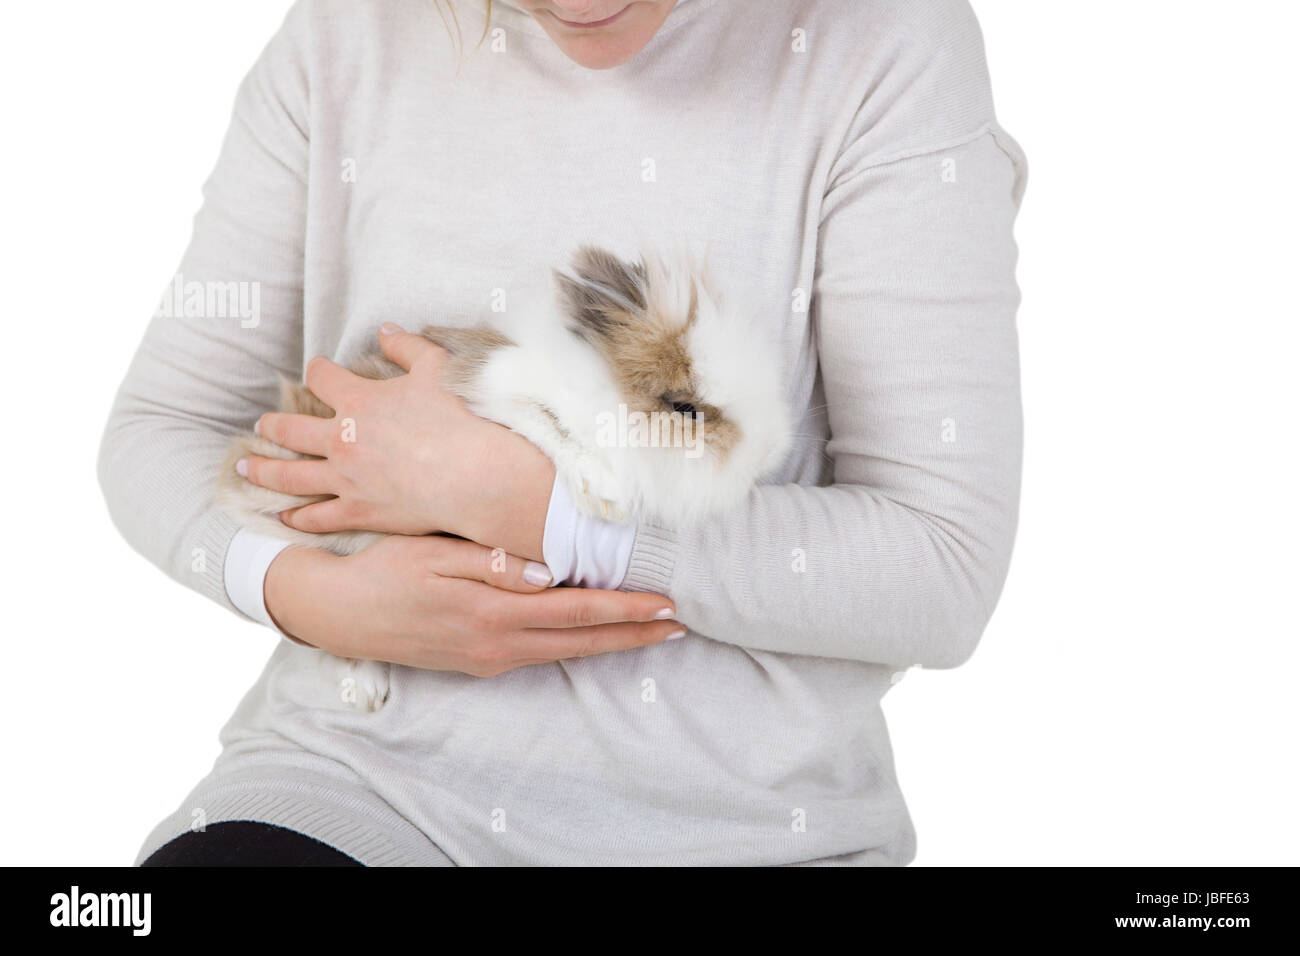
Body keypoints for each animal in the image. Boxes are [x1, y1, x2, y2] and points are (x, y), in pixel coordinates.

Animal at [217, 244, 785, 712]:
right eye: (685, 408)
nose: (771, 451)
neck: (602, 396)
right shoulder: (498, 393)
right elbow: (551, 429)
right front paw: (605, 497)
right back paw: (367, 691)